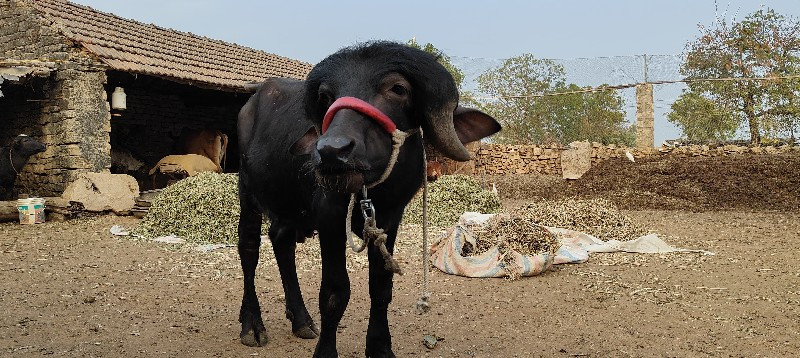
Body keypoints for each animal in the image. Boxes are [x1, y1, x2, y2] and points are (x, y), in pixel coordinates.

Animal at [236, 41, 500, 356]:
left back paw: (301, 320)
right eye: (326, 96)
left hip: (288, 204)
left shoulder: (390, 218)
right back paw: (252, 324)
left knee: (281, 241)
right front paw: (326, 351)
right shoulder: (330, 218)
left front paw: (380, 347)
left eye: (398, 88)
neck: (373, 191)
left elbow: (381, 287)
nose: (331, 150)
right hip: (247, 192)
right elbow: (334, 292)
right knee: (249, 249)